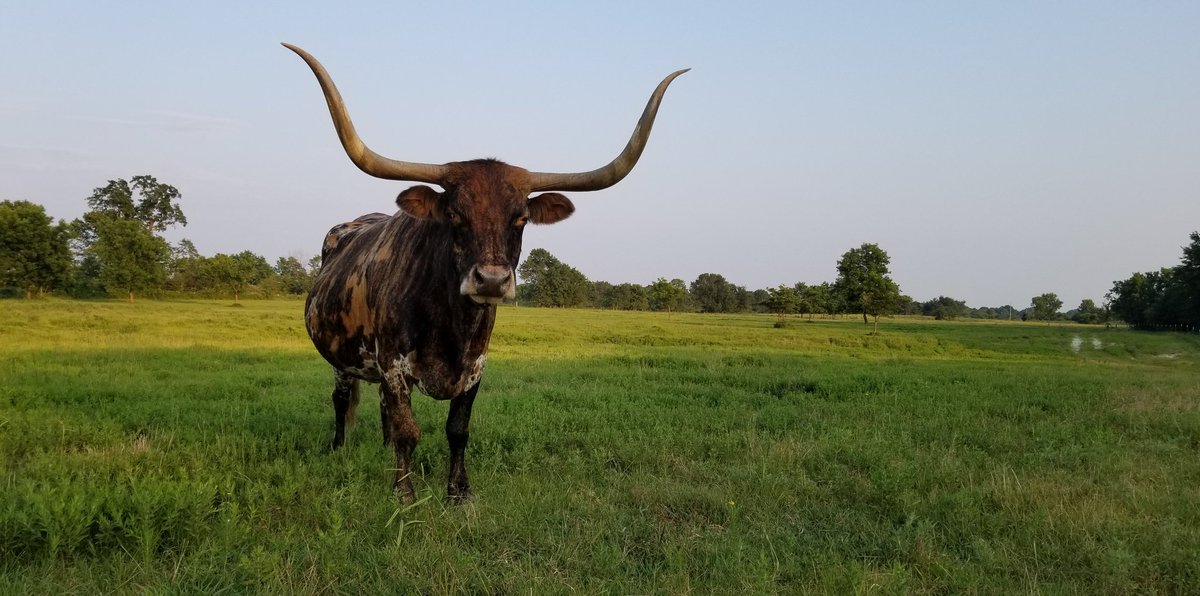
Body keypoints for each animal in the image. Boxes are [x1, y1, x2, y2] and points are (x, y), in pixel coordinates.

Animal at [283, 42, 686, 501]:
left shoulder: (476, 366)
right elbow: (408, 430)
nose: (492, 280)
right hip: (340, 358)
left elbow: (457, 429)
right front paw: (404, 493)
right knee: (340, 400)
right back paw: (339, 449)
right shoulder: (393, 365)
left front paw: (459, 494)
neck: (449, 322)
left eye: (521, 218)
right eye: (454, 215)